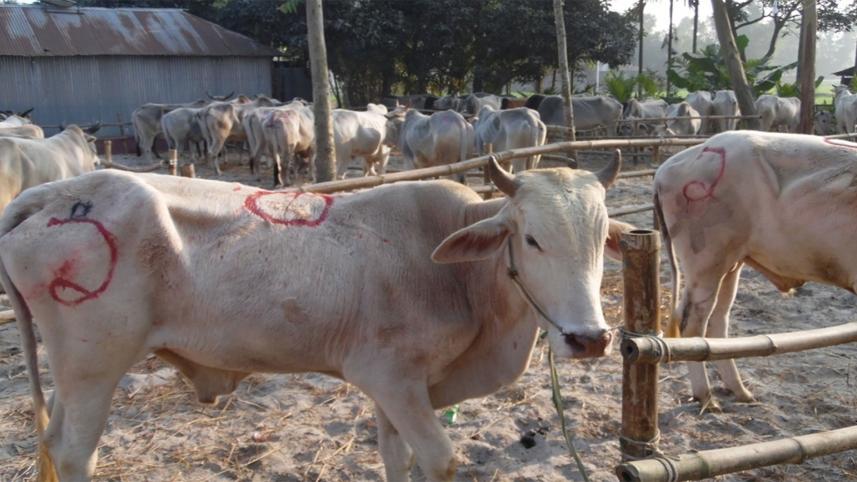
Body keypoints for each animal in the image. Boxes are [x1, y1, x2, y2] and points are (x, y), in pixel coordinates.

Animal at [0, 154, 630, 482]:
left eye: (603, 238)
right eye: (532, 238)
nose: (590, 339)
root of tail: (55, 194)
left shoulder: (395, 387)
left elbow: (395, 456)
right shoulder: (392, 379)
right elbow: (437, 459)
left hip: (74, 375)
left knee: (53, 441)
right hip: (94, 368)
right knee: (75, 452)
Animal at [654, 131, 857, 410]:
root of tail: (665, 168)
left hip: (732, 262)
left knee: (719, 322)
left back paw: (743, 394)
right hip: (705, 259)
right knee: (692, 323)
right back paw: (709, 400)